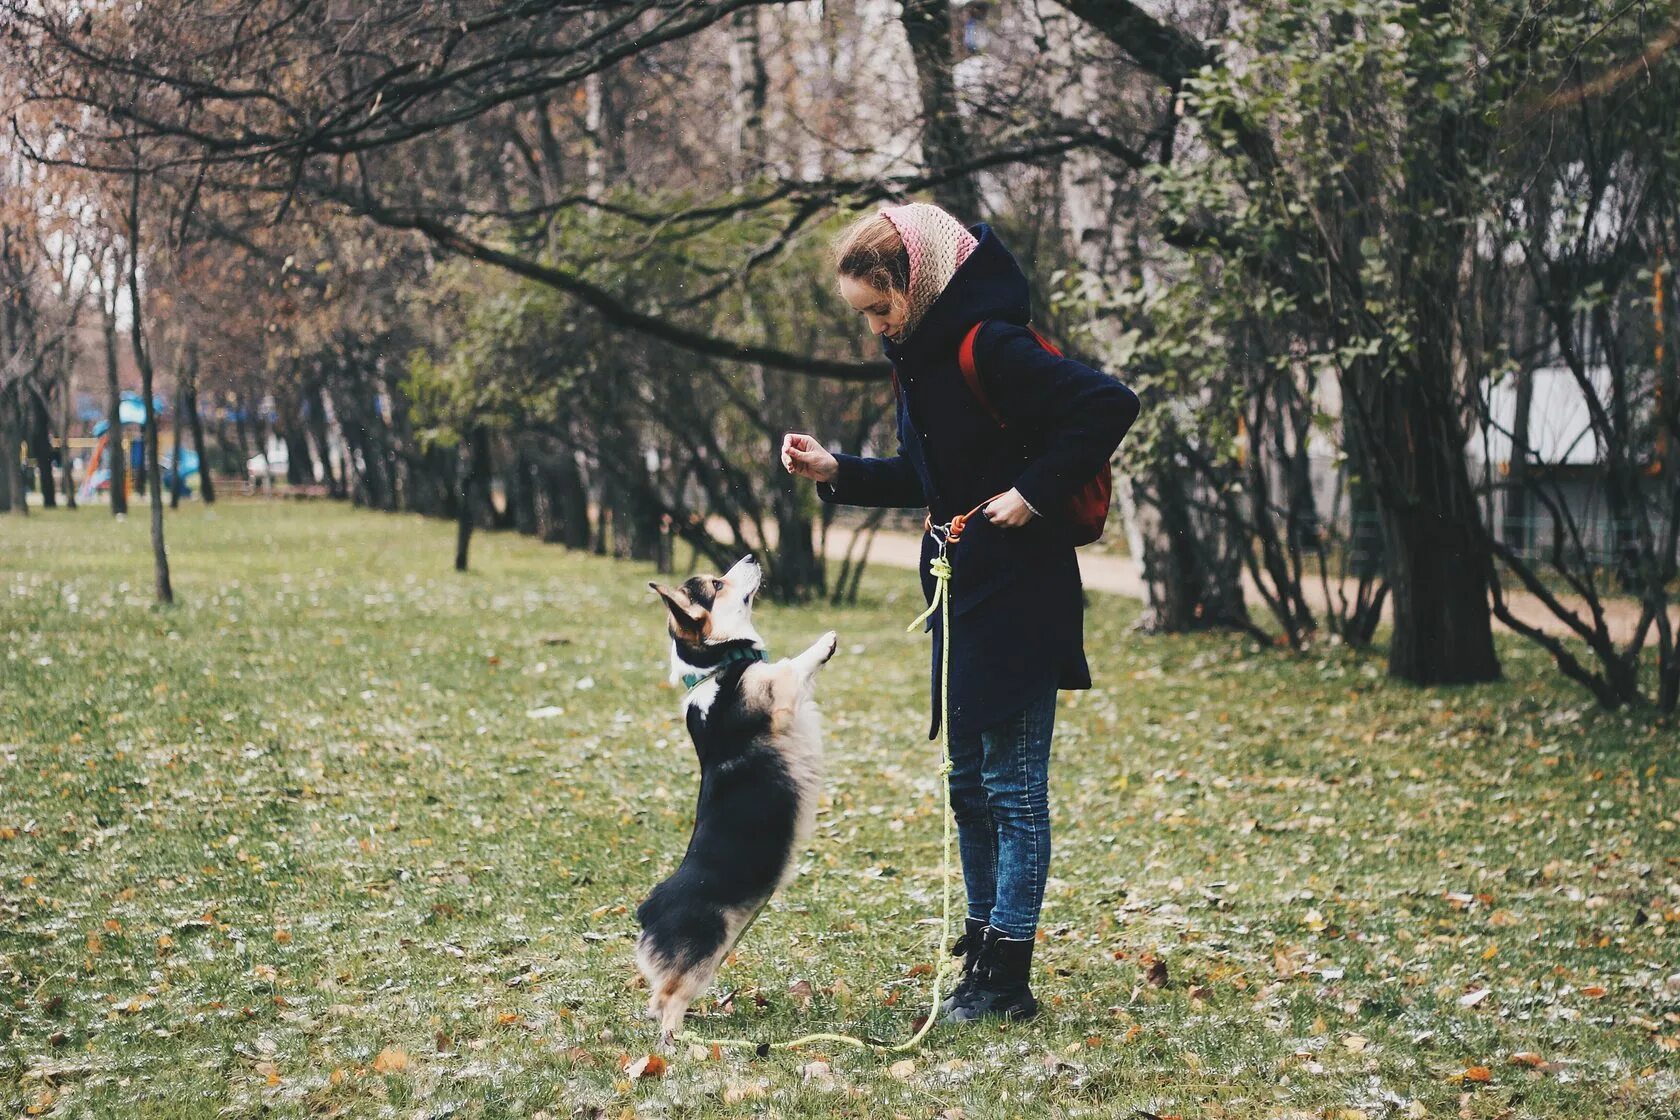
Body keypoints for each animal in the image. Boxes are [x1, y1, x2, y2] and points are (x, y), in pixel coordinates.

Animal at [631, 557, 836, 1054]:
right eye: (717, 584)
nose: (751, 558)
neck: (713, 668)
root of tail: (648, 911)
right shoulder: (776, 694)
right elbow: (792, 665)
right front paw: (824, 643)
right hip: (706, 946)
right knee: (666, 999)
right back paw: (678, 1044)